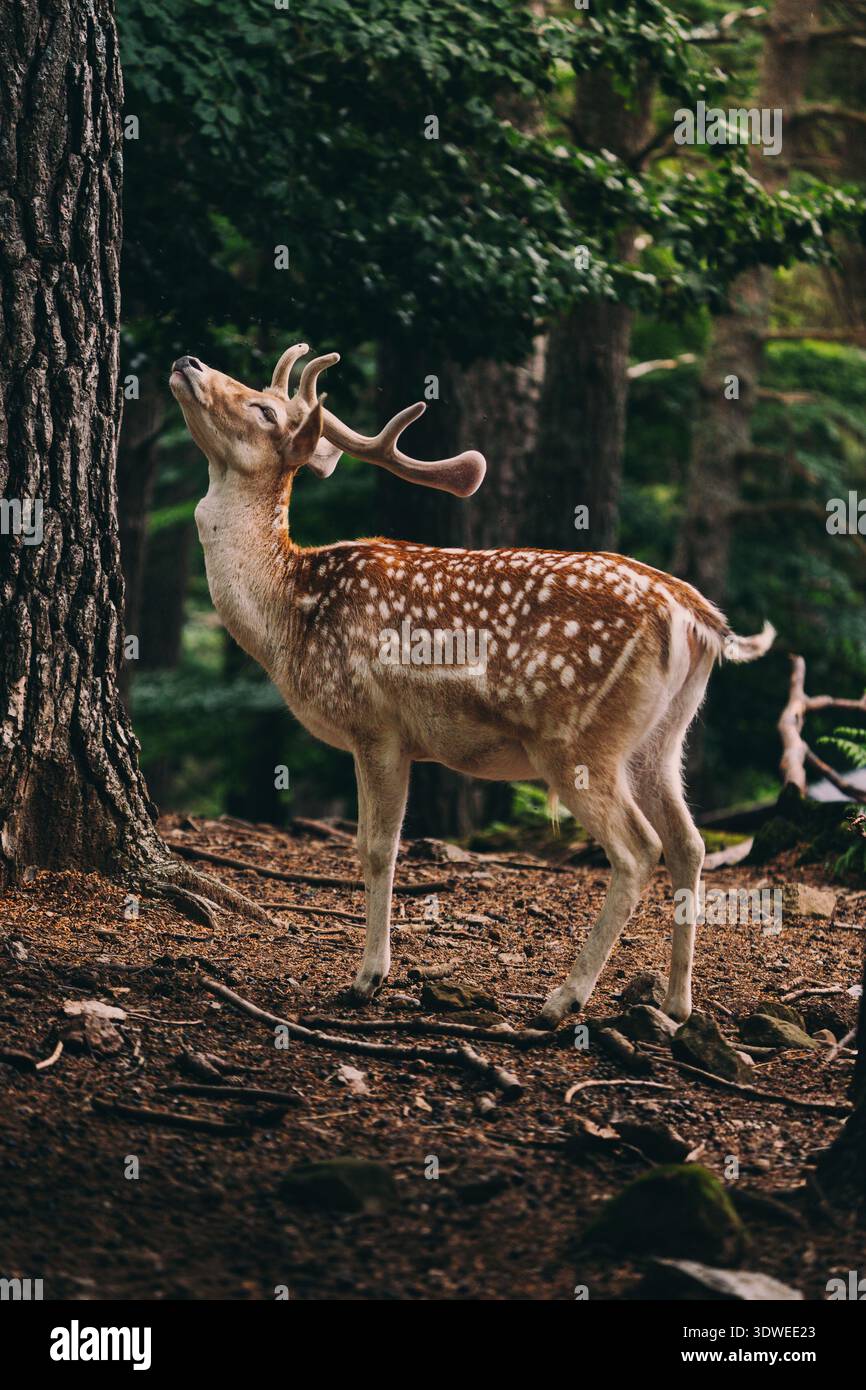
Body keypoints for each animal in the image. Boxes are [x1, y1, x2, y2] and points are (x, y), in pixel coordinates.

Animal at [169, 344, 775, 1029]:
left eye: (263, 410)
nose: (188, 360)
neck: (290, 615)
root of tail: (698, 618)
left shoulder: (376, 725)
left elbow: (377, 848)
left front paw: (367, 979)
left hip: (575, 737)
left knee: (638, 848)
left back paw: (562, 1000)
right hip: (662, 739)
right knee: (689, 843)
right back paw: (675, 1005)